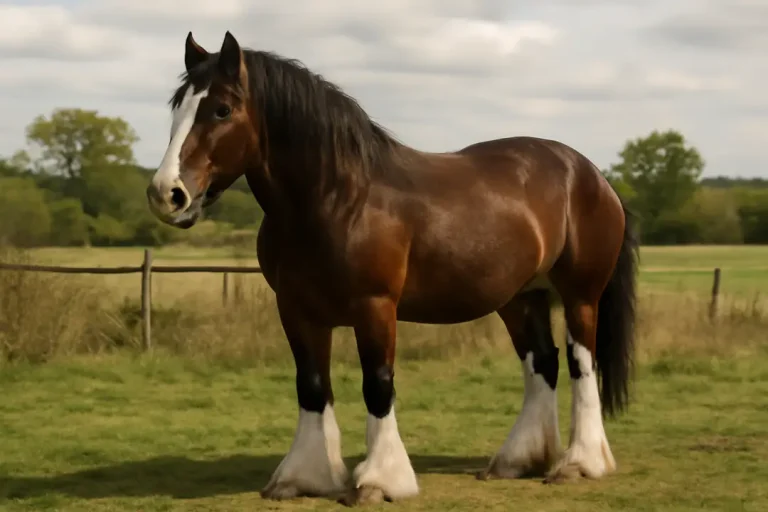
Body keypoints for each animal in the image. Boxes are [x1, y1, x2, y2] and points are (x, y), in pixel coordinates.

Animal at [146, 31, 638, 506]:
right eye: (177, 105)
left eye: (222, 109)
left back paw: (581, 464)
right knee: (543, 362)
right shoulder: (297, 311)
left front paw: (379, 481)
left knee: (581, 363)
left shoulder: (375, 307)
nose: (167, 194)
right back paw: (516, 461)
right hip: (521, 298)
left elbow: (378, 385)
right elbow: (312, 385)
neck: (336, 199)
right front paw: (303, 478)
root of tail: (592, 174)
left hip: (580, 296)